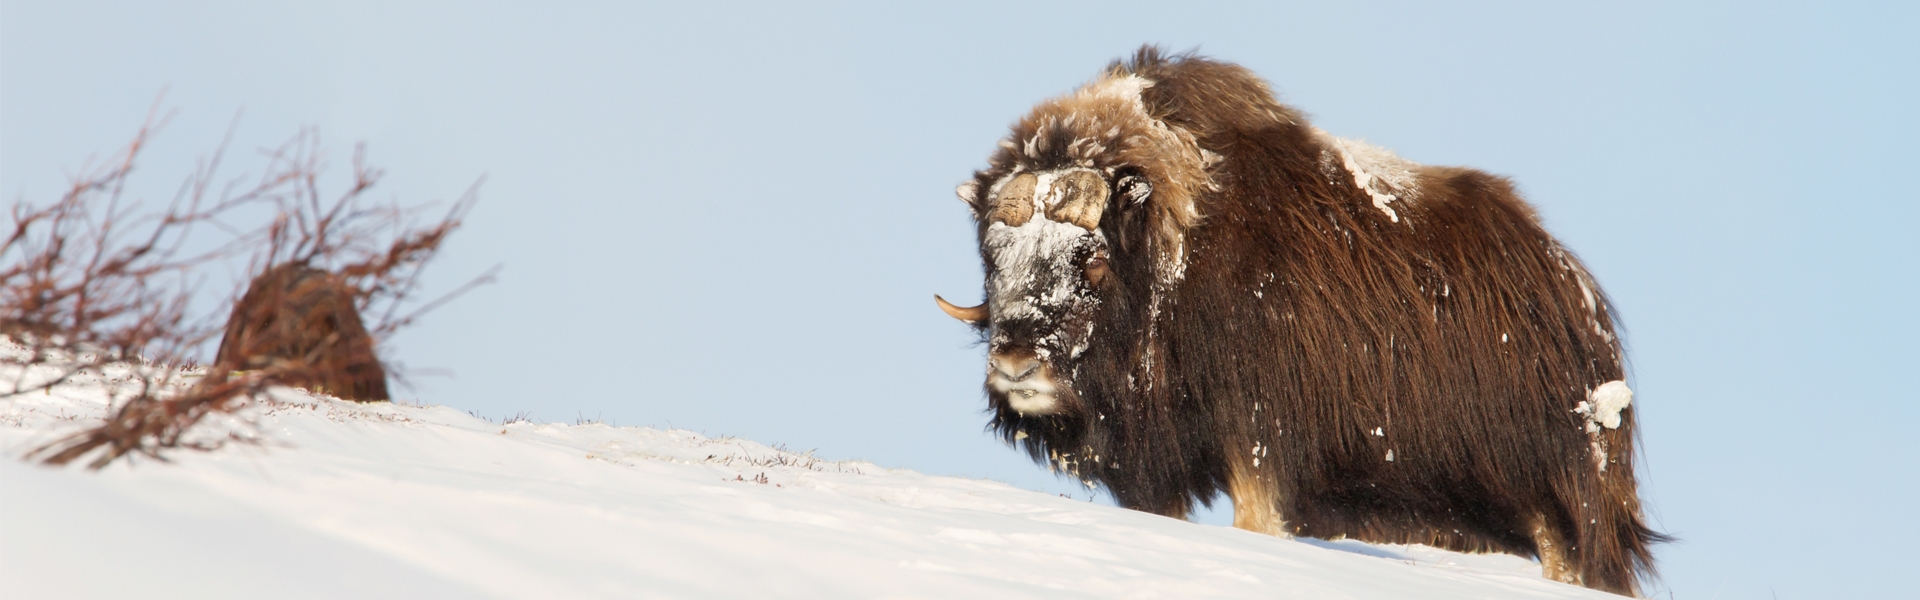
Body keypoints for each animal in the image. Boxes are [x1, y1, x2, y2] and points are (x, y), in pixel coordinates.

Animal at [935, 47, 1664, 595]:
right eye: (994, 256)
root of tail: (1578, 296)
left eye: (1090, 261)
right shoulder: (1158, 462)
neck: (1176, 254)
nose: (1014, 363)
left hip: (1559, 500)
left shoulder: (1259, 436)